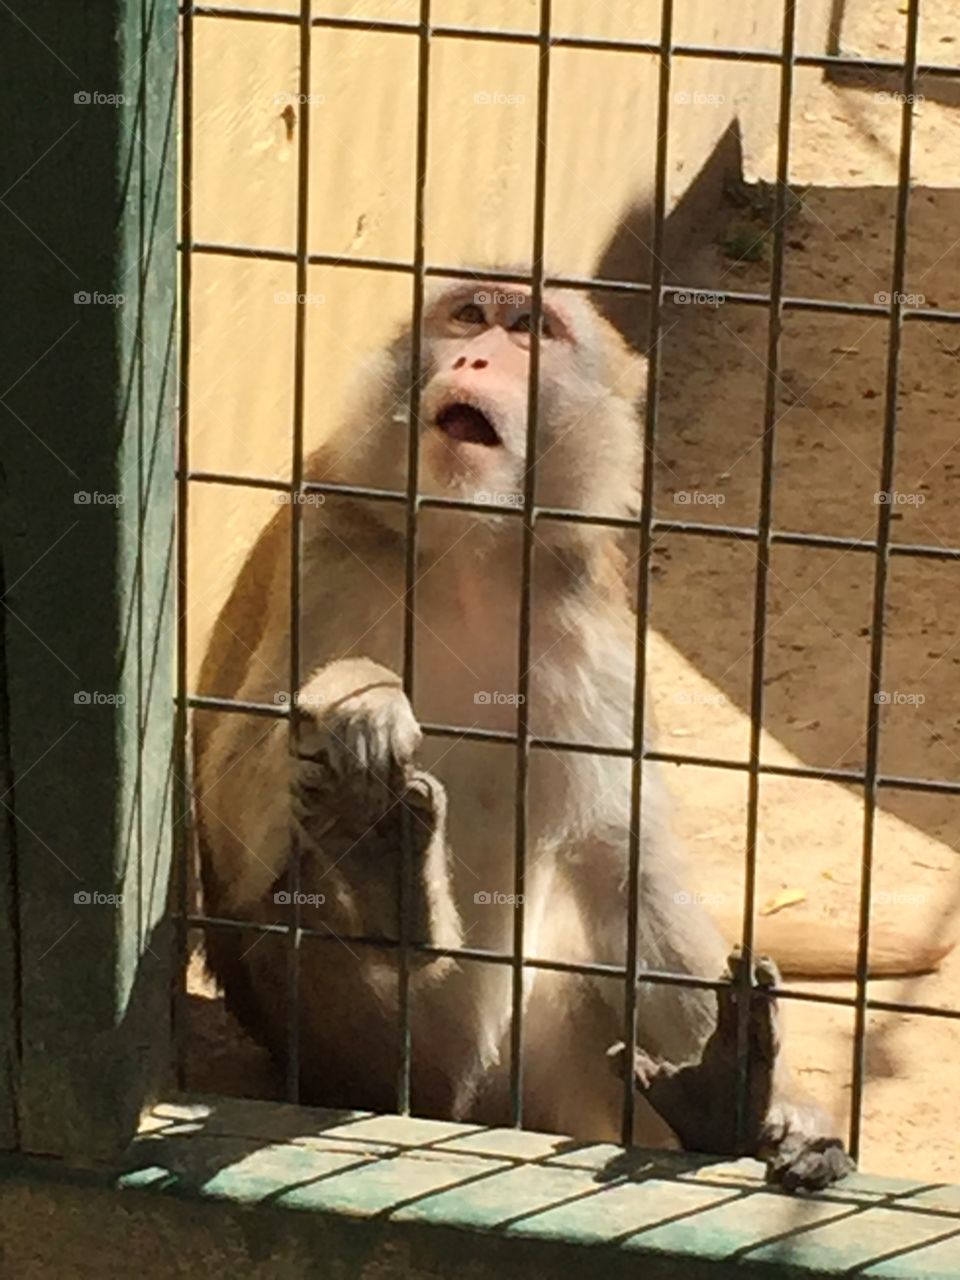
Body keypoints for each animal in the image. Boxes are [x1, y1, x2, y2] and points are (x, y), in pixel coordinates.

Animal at [193, 277, 943, 1188]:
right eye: (469, 318)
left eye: (529, 329)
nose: (478, 359)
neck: (467, 553)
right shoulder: (326, 548)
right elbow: (231, 823)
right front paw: (359, 698)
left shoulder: (587, 619)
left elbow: (625, 862)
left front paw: (777, 1110)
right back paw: (377, 869)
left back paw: (718, 1103)